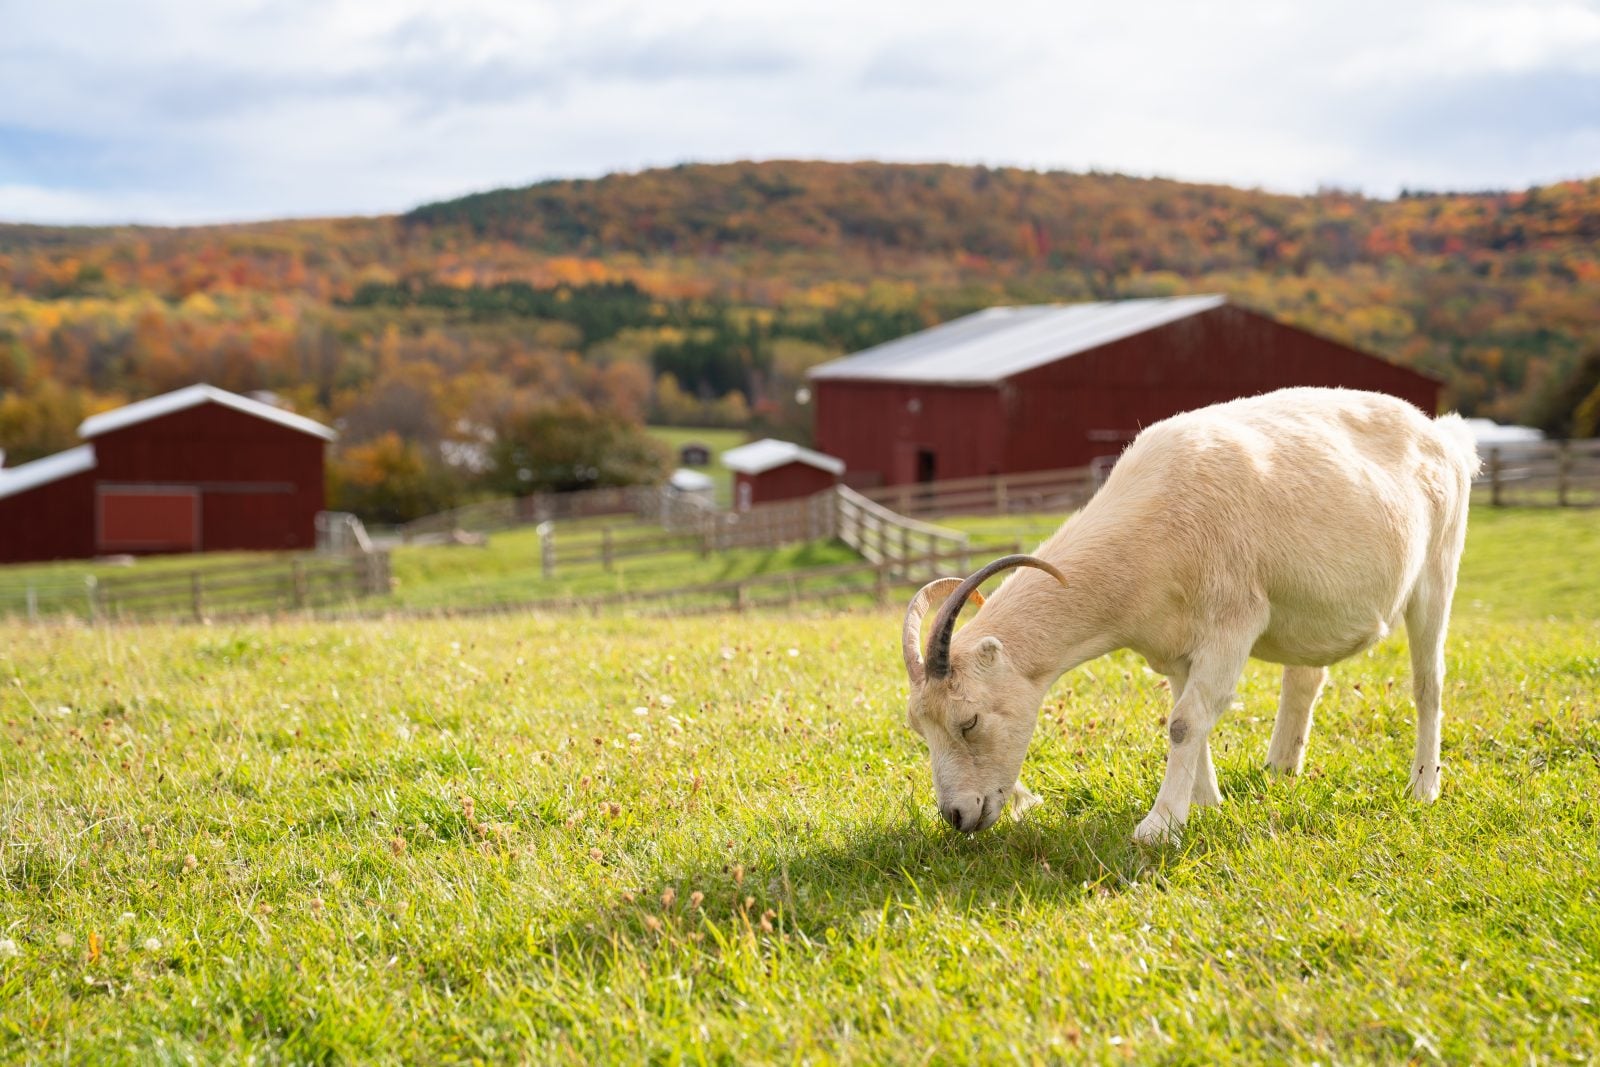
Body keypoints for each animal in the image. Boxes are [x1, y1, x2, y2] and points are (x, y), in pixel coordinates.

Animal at [900, 387, 1478, 843]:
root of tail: (1446, 435)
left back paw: (1423, 786)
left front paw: (1159, 827)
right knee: (1306, 678)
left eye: (969, 721)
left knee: (1429, 683)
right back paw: (1280, 770)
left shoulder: (1234, 619)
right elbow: (1185, 715)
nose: (957, 816)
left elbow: (1185, 722)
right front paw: (1203, 804)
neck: (1148, 530)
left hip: (1437, 573)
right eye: (919, 729)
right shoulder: (1175, 645)